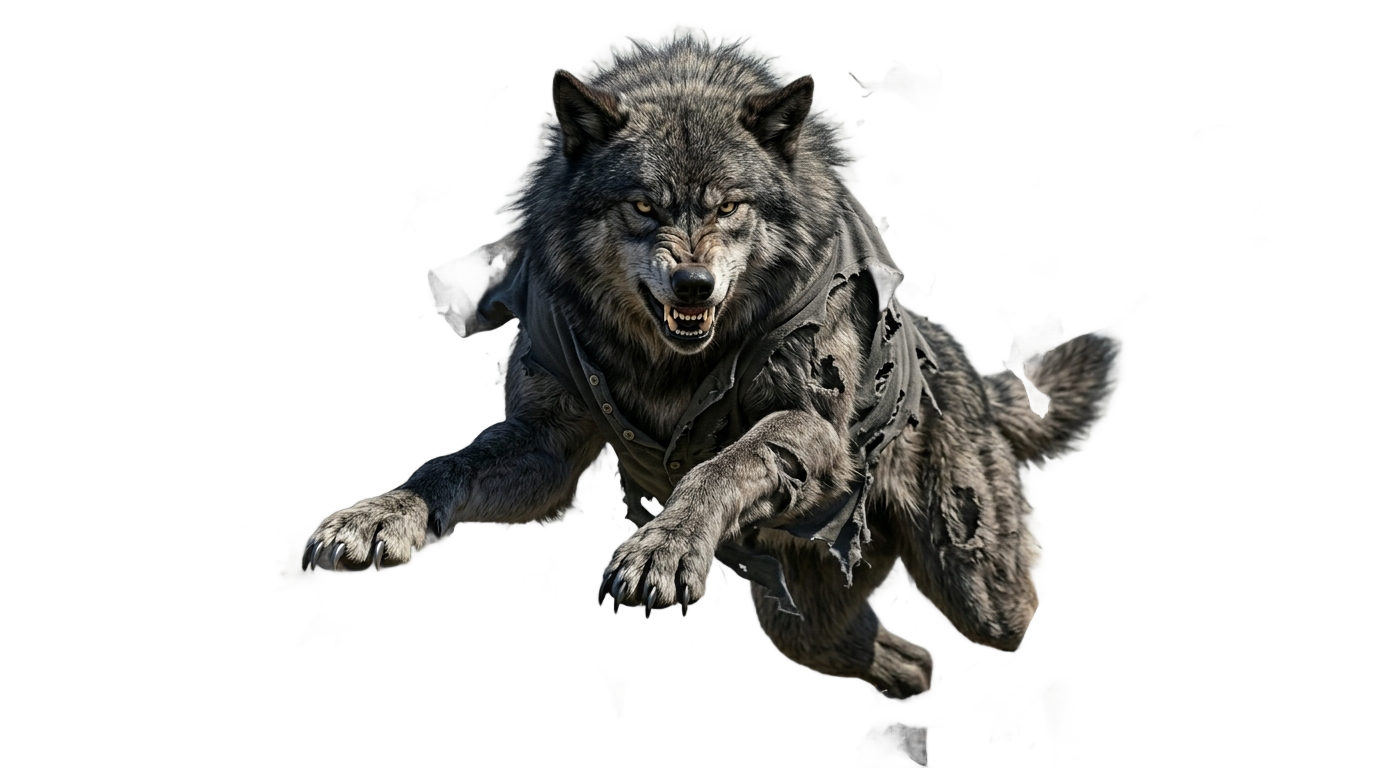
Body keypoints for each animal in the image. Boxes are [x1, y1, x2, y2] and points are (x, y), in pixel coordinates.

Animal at [301, 37, 1116, 703]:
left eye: (729, 207)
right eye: (642, 206)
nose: (694, 287)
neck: (671, 366)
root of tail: (964, 367)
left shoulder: (810, 430)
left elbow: (721, 464)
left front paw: (663, 546)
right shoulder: (549, 442)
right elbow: (448, 466)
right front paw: (378, 514)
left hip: (972, 581)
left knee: (1012, 618)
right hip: (793, 597)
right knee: (846, 644)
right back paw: (910, 672)